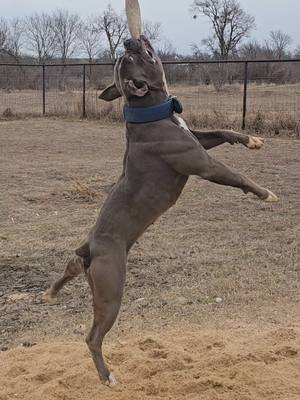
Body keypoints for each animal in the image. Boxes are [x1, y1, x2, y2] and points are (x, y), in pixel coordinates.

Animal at [44, 36, 276, 386]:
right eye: (132, 58)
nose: (130, 41)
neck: (150, 113)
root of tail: (91, 247)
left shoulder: (199, 139)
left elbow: (223, 131)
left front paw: (252, 140)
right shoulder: (204, 164)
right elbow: (237, 176)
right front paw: (264, 194)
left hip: (90, 275)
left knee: (69, 270)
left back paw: (52, 293)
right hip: (111, 293)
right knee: (93, 337)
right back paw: (107, 376)